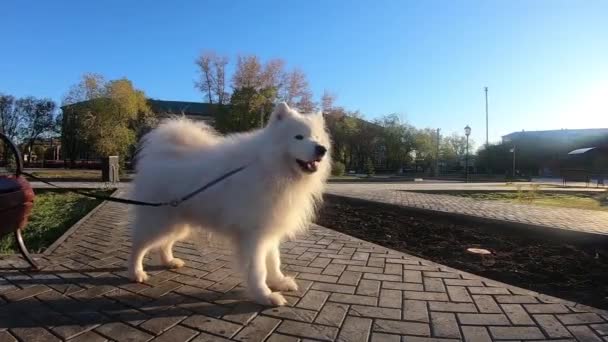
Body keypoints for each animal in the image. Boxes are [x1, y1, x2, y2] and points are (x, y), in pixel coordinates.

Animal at [127, 103, 332, 306]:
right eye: (298, 137)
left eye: (317, 138)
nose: (321, 149)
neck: (270, 167)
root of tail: (161, 156)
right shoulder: (253, 236)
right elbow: (259, 269)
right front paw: (265, 295)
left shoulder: (269, 230)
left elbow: (274, 261)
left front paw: (279, 282)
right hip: (159, 223)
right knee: (138, 245)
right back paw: (136, 272)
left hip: (177, 225)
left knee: (164, 243)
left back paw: (169, 261)